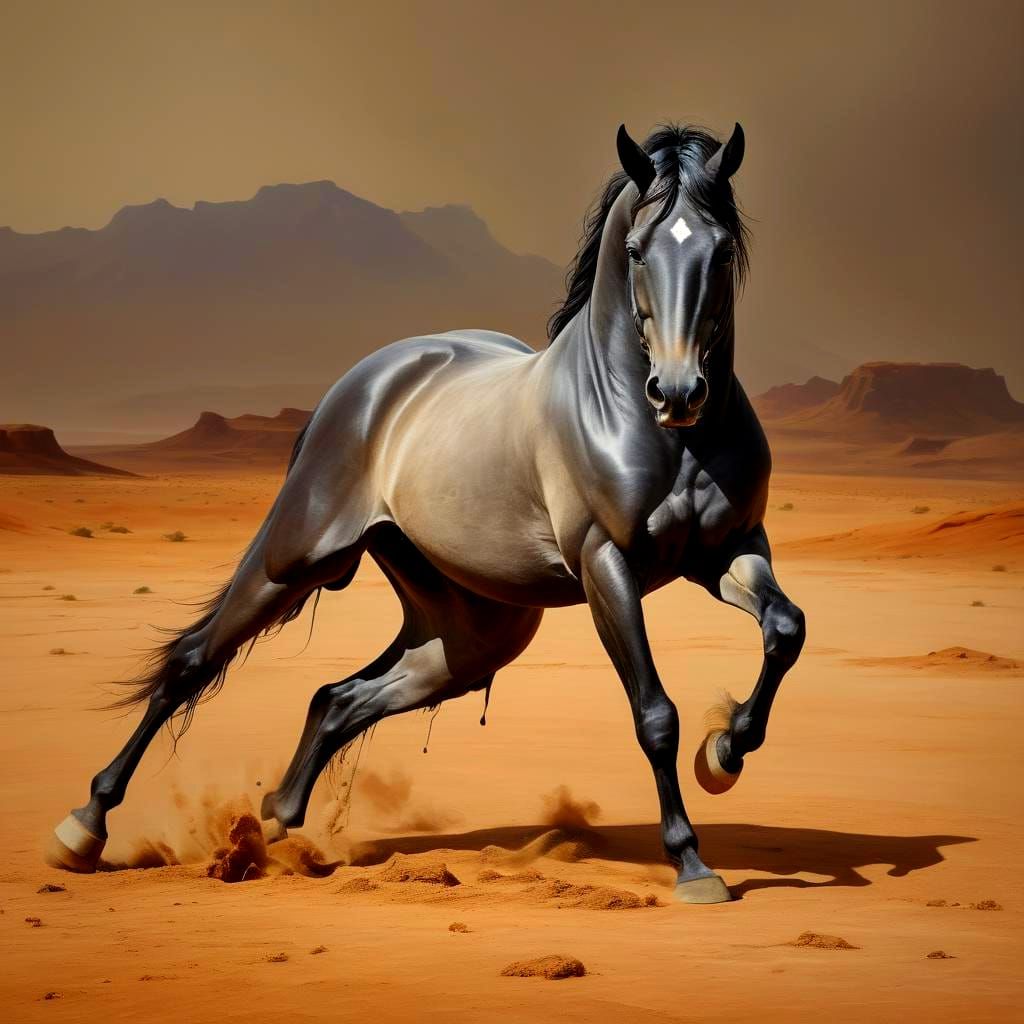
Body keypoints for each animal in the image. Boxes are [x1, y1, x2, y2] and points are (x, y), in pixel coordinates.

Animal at [47, 122, 805, 904]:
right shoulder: (607, 565)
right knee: (193, 663)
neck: (653, 428)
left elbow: (786, 629)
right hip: (294, 556)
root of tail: (371, 379)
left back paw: (276, 819)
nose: (678, 391)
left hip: (470, 633)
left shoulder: (729, 550)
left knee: (339, 698)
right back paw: (85, 826)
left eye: (721, 249)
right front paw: (693, 864)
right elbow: (654, 713)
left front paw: (724, 753)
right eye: (635, 250)